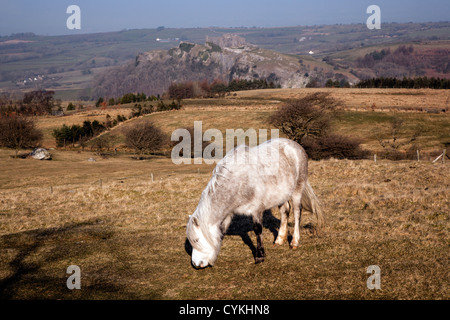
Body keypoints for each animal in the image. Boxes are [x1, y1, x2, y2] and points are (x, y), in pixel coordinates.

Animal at [186, 138, 324, 268]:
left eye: (196, 240)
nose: (196, 264)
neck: (238, 181)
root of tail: (296, 146)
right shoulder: (229, 213)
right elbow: (222, 231)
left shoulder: (256, 209)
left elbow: (258, 230)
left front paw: (260, 256)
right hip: (281, 195)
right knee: (285, 210)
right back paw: (279, 239)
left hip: (297, 190)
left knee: (296, 212)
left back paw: (294, 242)